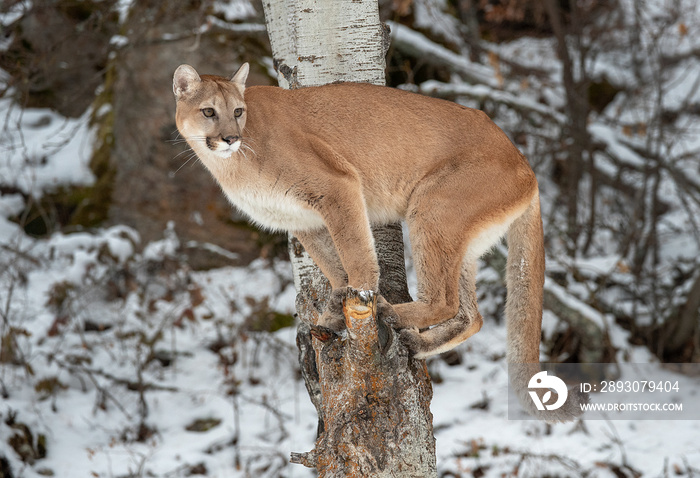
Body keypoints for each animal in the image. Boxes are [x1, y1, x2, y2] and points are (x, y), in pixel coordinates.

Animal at [174, 64, 584, 422]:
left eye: (237, 111)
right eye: (209, 111)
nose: (230, 137)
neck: (231, 163)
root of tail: (526, 164)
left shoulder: (337, 187)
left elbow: (355, 251)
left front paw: (362, 293)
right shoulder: (303, 222)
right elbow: (332, 264)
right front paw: (334, 311)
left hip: (431, 208)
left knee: (445, 300)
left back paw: (391, 313)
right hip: (460, 239)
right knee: (472, 315)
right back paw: (418, 344)